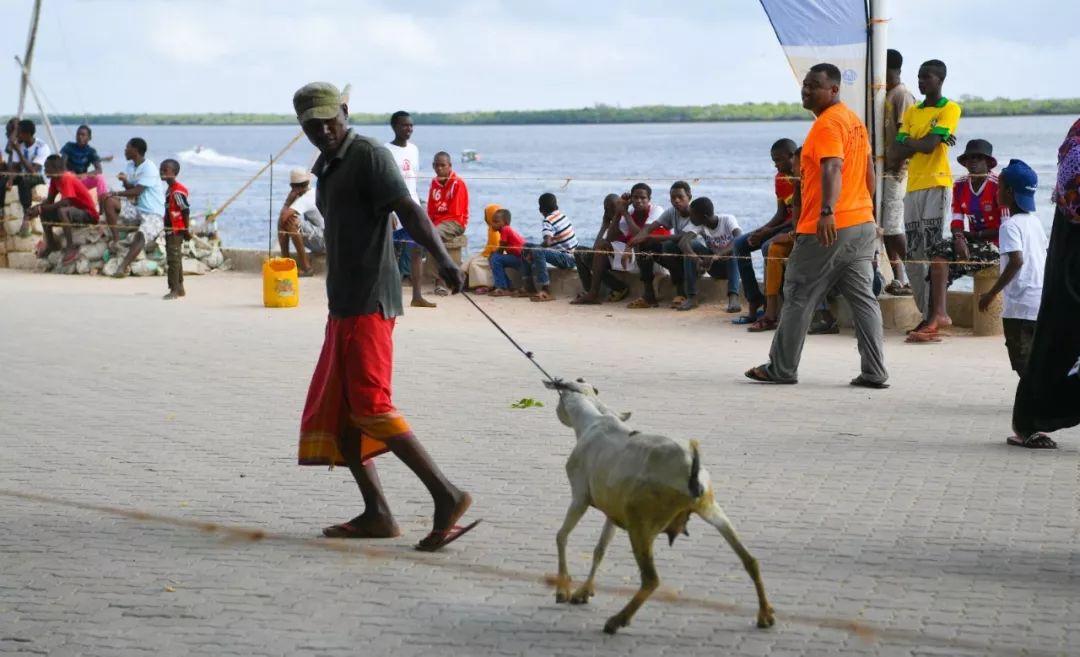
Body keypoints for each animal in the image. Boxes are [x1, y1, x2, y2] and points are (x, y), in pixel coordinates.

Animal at [544, 378, 773, 635]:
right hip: (711, 507)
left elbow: (562, 535)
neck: (592, 420)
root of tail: (690, 471)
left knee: (651, 579)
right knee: (749, 559)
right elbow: (600, 548)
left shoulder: (580, 495)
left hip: (642, 523)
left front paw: (562, 591)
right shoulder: (613, 508)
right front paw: (584, 592)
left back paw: (616, 620)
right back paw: (765, 614)